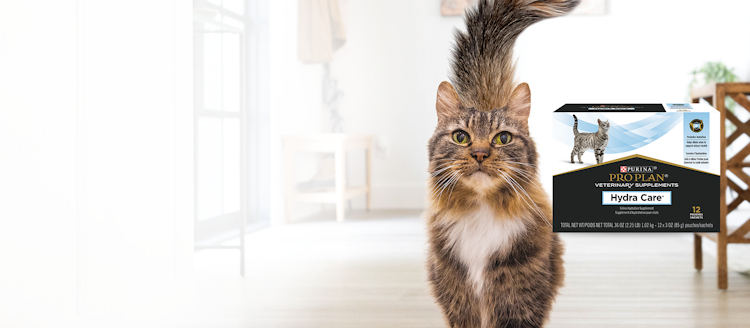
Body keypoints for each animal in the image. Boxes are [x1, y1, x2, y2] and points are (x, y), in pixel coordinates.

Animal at [424, 1, 580, 326]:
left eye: (503, 138)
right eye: (461, 137)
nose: (481, 154)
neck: (482, 212)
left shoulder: (520, 298)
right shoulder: (457, 298)